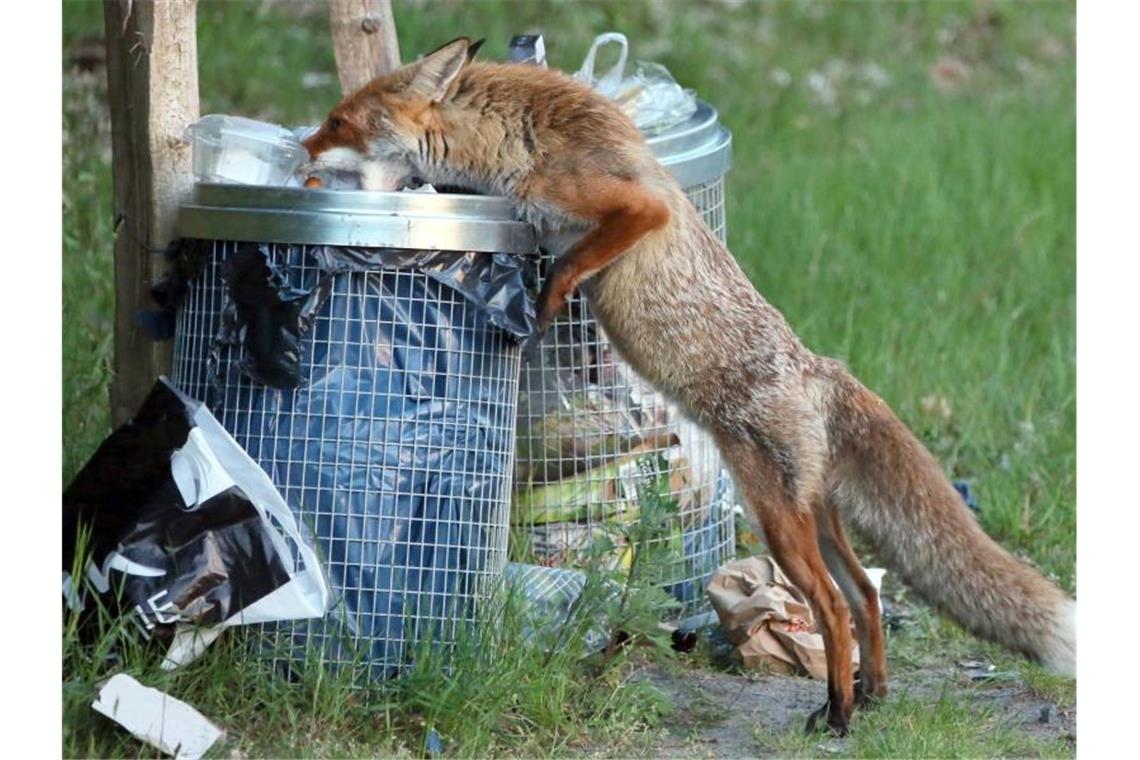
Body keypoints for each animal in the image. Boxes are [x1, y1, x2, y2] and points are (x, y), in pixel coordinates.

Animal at [303, 37, 1076, 738]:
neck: (521, 141)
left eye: (338, 121)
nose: (302, 154)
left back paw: (838, 713)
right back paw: (873, 693)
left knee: (831, 605)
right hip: (815, 515)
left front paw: (541, 311)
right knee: (864, 595)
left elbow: (570, 267)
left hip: (779, 520)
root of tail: (818, 367)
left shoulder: (636, 208)